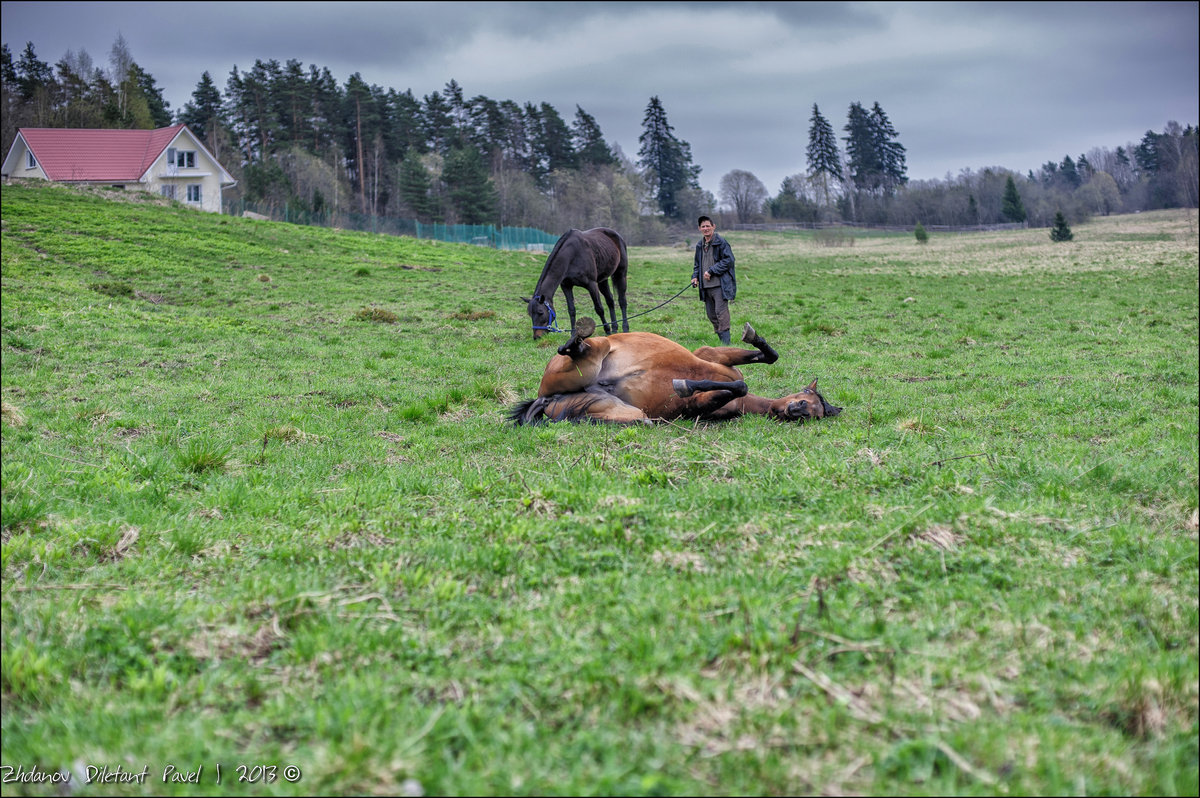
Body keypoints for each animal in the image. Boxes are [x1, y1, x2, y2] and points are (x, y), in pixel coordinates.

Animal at [508, 319, 844, 427]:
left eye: (816, 414)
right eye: (807, 394)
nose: (798, 409)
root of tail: (545, 397)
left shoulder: (703, 407)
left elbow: (739, 387)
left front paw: (683, 385)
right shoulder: (711, 355)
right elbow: (765, 360)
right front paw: (753, 336)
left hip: (621, 411)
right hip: (598, 350)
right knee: (582, 346)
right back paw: (575, 341)